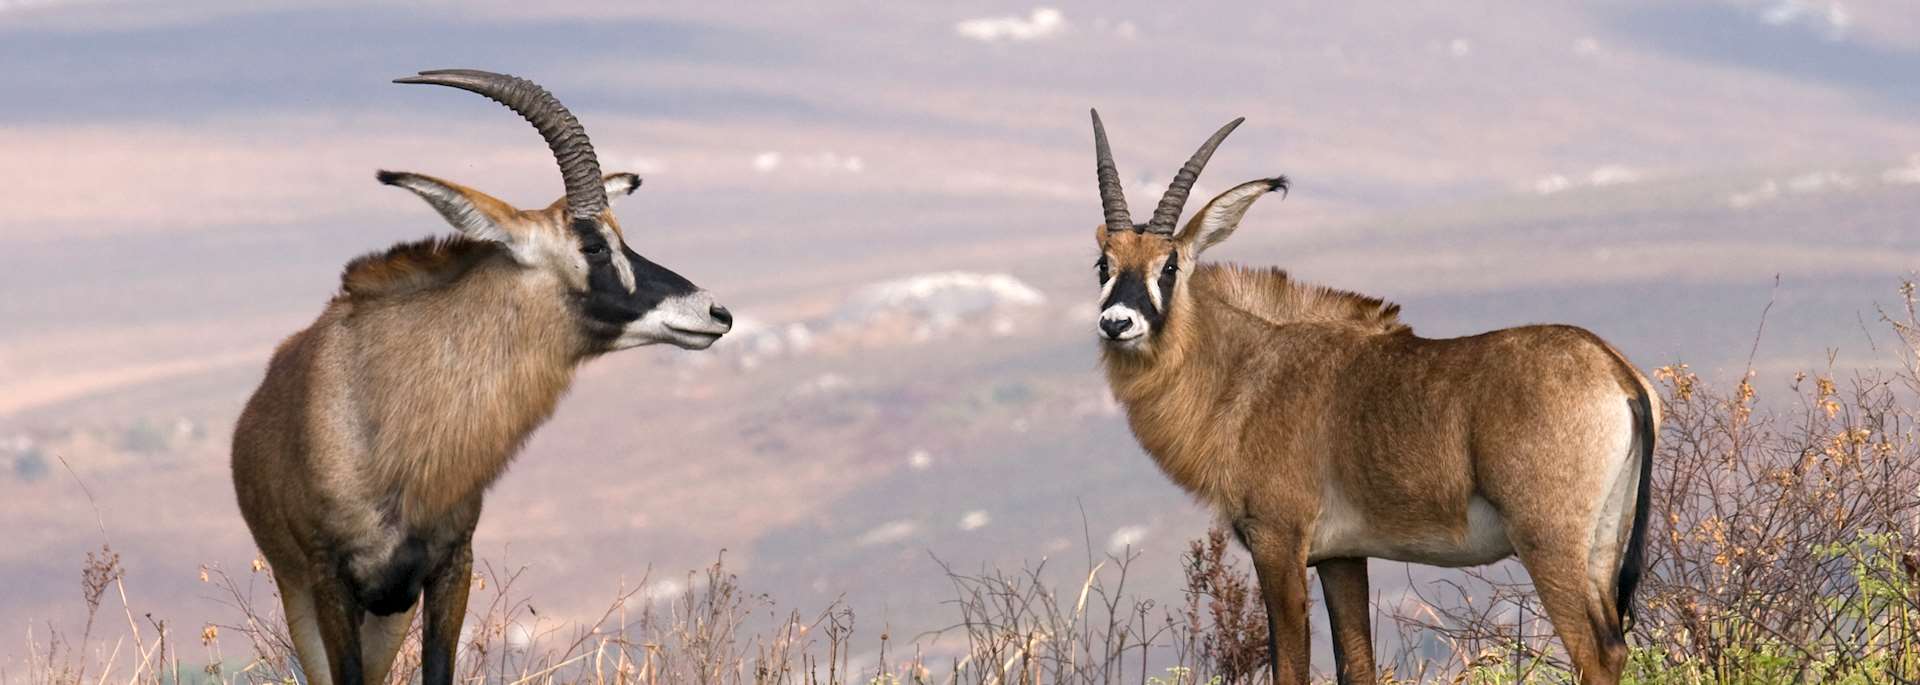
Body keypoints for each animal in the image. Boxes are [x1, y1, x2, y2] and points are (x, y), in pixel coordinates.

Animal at [231, 70, 733, 685]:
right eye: (593, 244)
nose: (714, 312)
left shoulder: (449, 566)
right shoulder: (331, 580)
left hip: (388, 614)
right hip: (302, 593)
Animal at [1084, 111, 1657, 685]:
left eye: (1170, 266)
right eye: (1103, 264)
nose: (1117, 323)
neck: (1247, 370)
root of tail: (1615, 371)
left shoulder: (1278, 541)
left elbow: (1291, 667)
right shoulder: (1341, 557)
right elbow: (1357, 665)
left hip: (1548, 542)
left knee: (1595, 652)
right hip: (1602, 544)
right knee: (1614, 646)